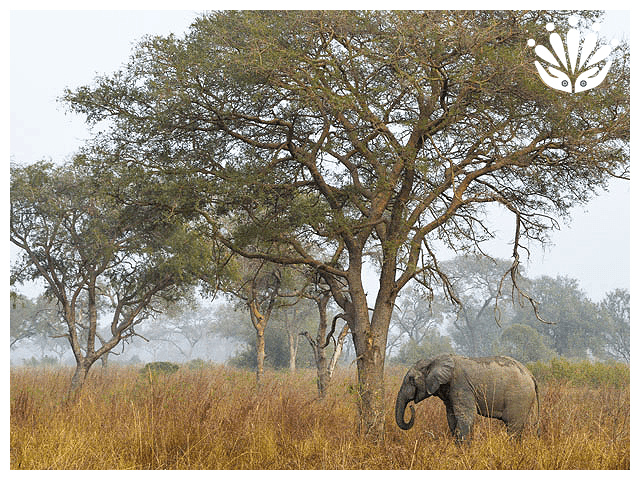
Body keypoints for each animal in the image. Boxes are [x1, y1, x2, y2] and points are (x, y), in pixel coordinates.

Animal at [396, 352, 540, 442]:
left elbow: (466, 418)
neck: (434, 359)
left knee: (513, 428)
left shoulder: (461, 386)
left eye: (411, 379)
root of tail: (531, 375)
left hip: (520, 397)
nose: (411, 406)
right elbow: (451, 418)